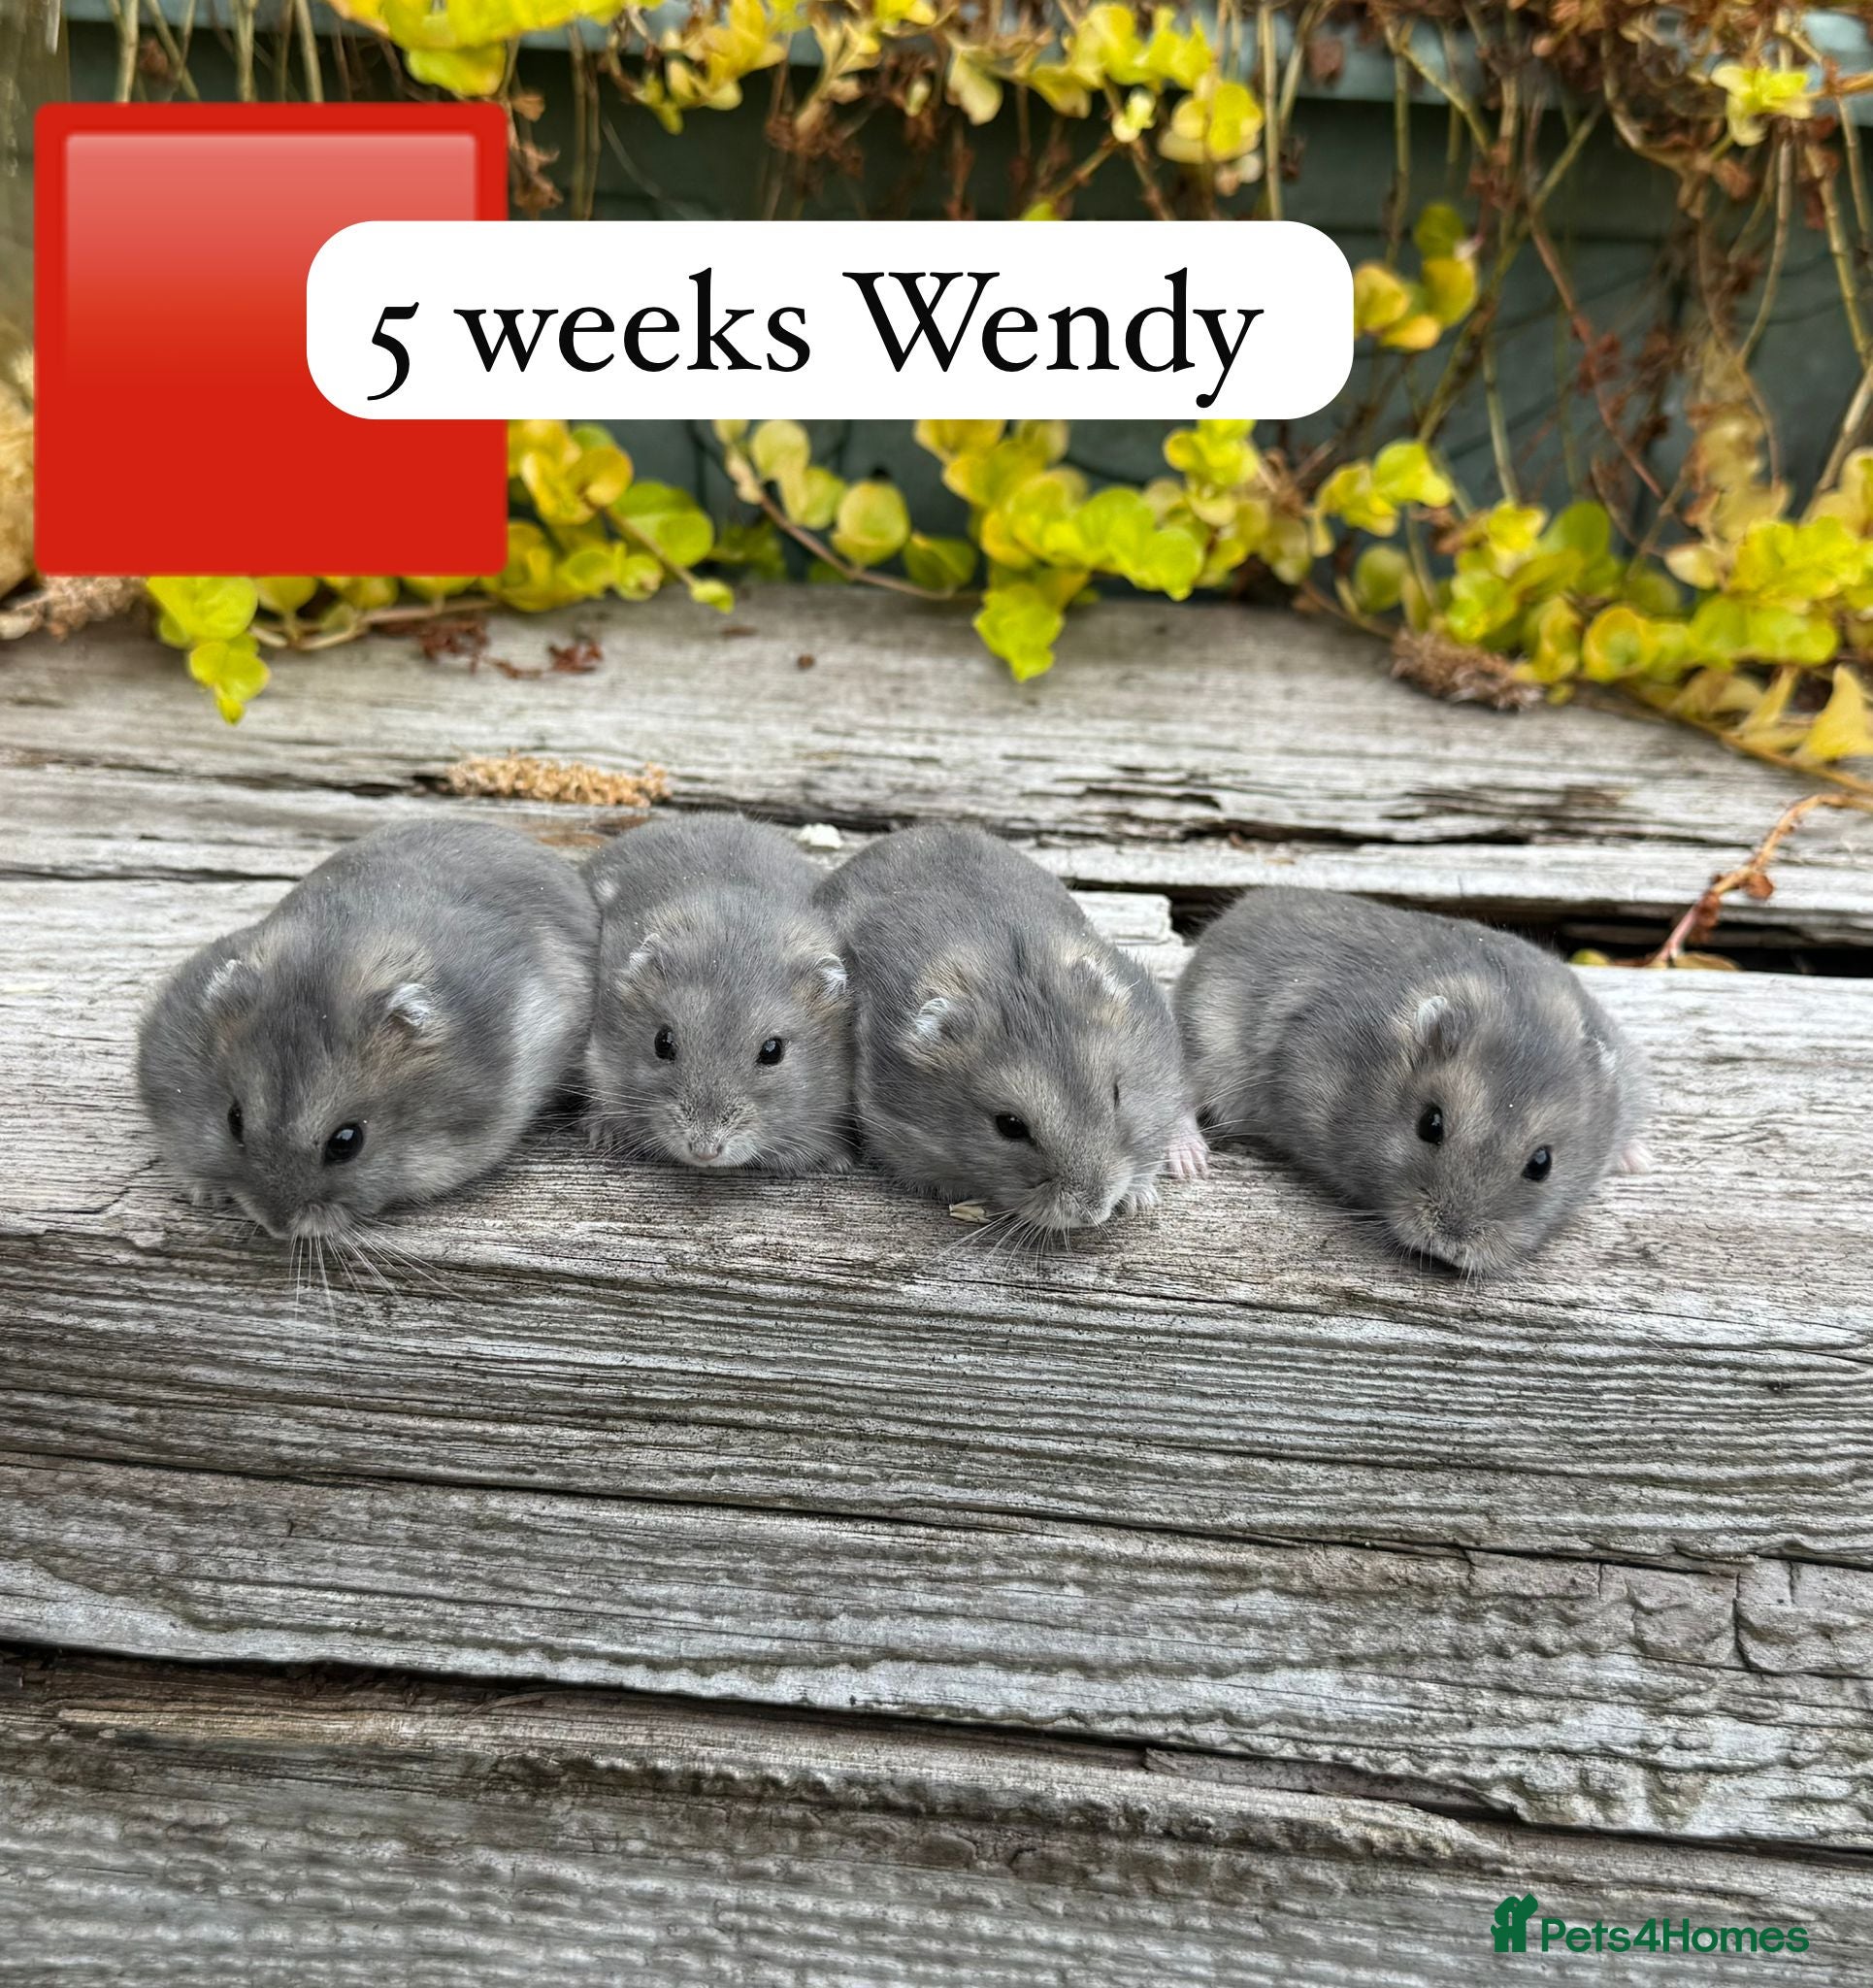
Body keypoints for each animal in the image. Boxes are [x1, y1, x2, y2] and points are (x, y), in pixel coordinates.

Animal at [1176, 887, 1651, 1275]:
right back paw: (1190, 1162)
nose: (1446, 1246)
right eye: (1430, 1124)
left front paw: (1636, 1159)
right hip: (1203, 1036)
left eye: (1541, 1164)